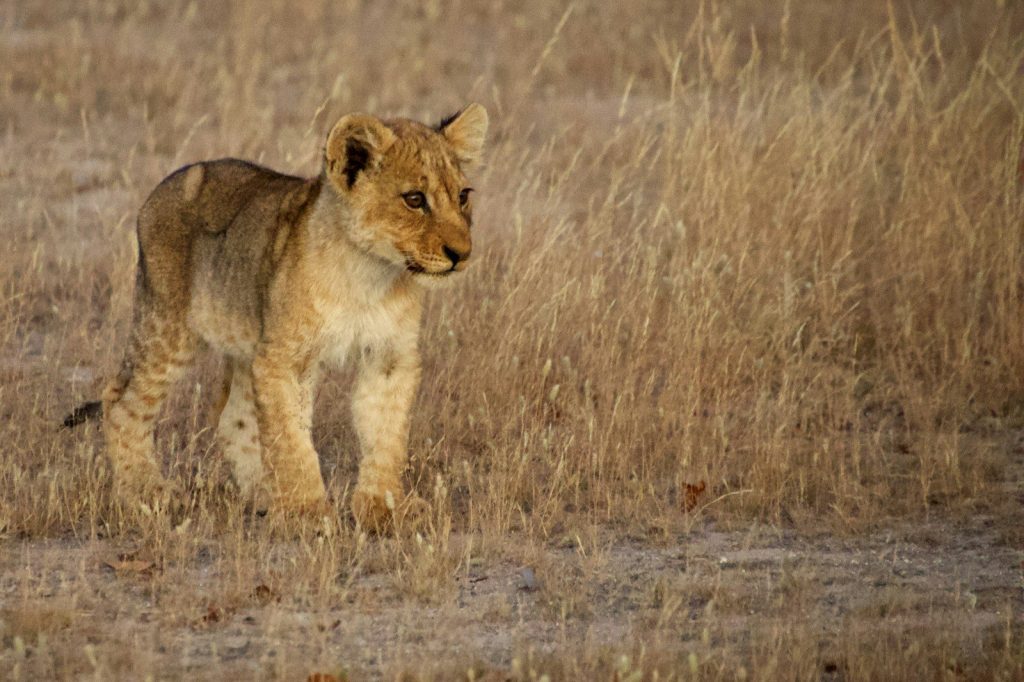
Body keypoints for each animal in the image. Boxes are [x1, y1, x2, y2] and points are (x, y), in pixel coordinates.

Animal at [65, 104, 488, 531]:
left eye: (463, 196)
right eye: (414, 199)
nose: (462, 254)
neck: (369, 273)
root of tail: (165, 185)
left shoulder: (389, 358)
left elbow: (385, 436)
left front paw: (383, 508)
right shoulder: (285, 359)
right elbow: (292, 438)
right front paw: (308, 513)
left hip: (245, 343)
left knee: (232, 416)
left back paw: (265, 496)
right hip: (167, 326)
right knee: (121, 401)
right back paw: (147, 494)